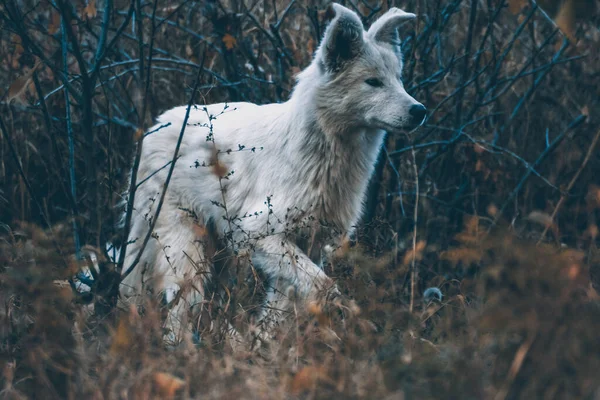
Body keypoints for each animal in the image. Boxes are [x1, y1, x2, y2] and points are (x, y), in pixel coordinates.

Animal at [118, 3, 426, 346]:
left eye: (398, 80)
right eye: (373, 82)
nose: (420, 111)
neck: (320, 152)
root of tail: (154, 128)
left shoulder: (306, 243)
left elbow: (283, 307)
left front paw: (264, 345)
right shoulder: (260, 234)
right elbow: (325, 288)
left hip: (218, 254)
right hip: (189, 250)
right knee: (178, 317)